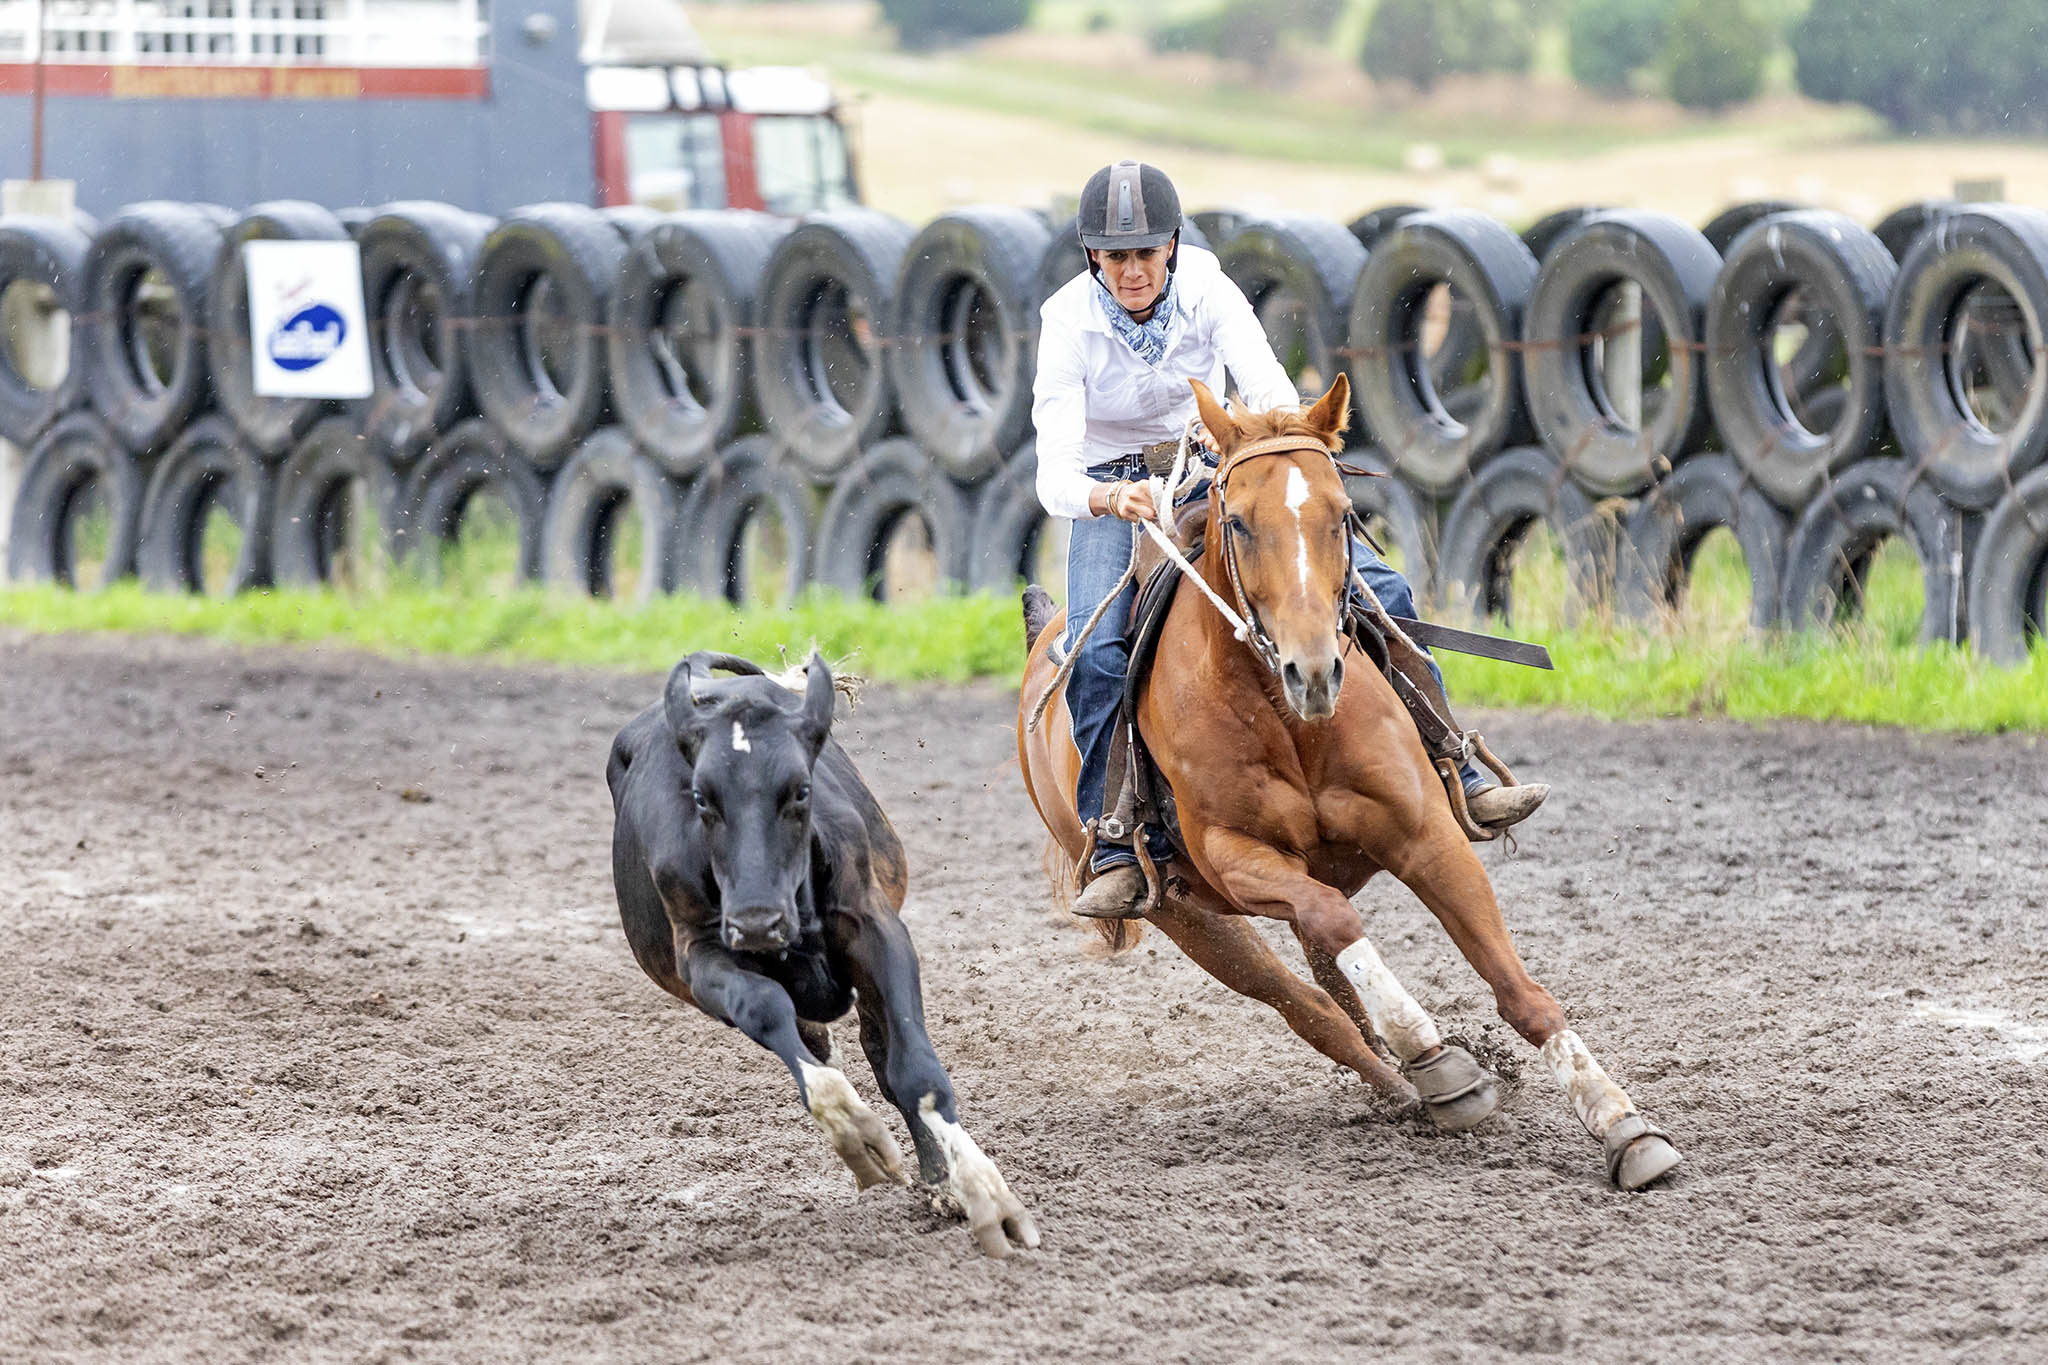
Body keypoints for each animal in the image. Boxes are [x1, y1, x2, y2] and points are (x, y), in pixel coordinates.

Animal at [606, 650, 1038, 1258]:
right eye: (701, 798)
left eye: (800, 791)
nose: (756, 921)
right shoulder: (700, 954)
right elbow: (770, 1014)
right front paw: (860, 1136)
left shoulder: (874, 927)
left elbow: (915, 1069)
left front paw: (983, 1193)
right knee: (811, 1039)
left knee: (880, 1053)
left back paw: (938, 1179)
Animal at [1015, 374, 1681, 1191]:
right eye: (1237, 523)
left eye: (1344, 515)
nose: (1313, 670)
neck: (1289, 719)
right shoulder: (1237, 859)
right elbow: (1337, 924)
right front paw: (1436, 1057)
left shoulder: (1426, 834)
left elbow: (1519, 989)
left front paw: (1623, 1124)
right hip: (1191, 917)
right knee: (1311, 1005)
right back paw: (1416, 1085)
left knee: (1332, 981)